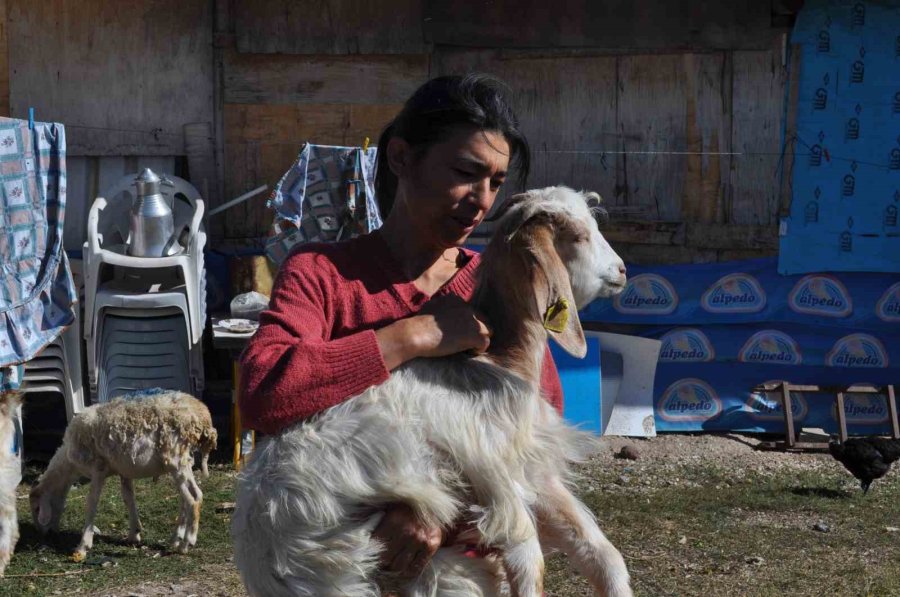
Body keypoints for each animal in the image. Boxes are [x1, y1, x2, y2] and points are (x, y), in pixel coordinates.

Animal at [30, 388, 217, 560]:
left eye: (37, 508)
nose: (43, 534)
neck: (69, 463)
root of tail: (203, 416)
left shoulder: (98, 469)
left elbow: (91, 503)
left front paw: (83, 545)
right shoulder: (124, 471)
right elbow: (128, 498)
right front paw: (134, 534)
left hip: (175, 458)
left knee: (194, 497)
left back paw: (187, 543)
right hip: (183, 460)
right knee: (185, 498)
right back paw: (176, 539)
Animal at [232, 186, 632, 596]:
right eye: (579, 236)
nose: (622, 271)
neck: (500, 363)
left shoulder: (536, 472)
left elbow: (602, 553)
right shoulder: (496, 477)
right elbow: (528, 562)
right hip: (336, 565)